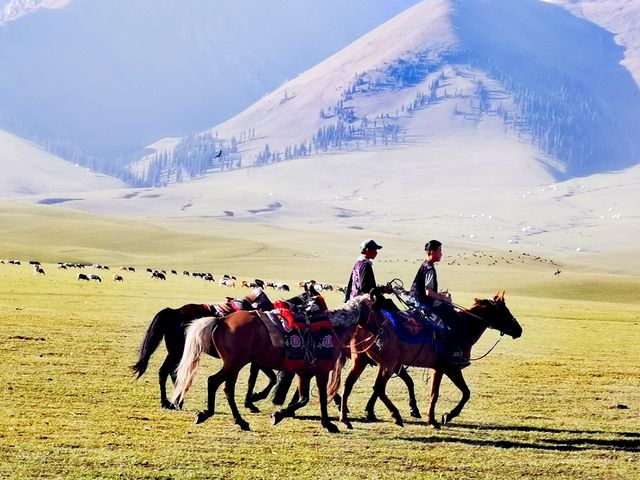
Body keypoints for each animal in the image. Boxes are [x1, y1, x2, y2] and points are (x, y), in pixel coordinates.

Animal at [170, 294, 370, 434]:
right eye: (377, 306)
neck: (333, 327)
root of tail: (221, 320)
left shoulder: (303, 373)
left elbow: (303, 399)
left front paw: (278, 414)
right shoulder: (321, 371)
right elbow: (319, 398)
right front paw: (328, 424)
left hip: (234, 365)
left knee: (225, 388)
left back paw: (235, 419)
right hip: (234, 364)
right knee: (216, 383)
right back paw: (219, 416)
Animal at [332, 290, 524, 430]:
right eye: (505, 311)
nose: (519, 330)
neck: (464, 328)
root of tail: (364, 323)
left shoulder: (443, 368)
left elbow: (462, 392)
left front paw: (443, 416)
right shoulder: (447, 368)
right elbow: (441, 393)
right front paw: (436, 419)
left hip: (362, 360)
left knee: (349, 384)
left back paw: (345, 418)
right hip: (388, 364)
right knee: (378, 387)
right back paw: (395, 416)